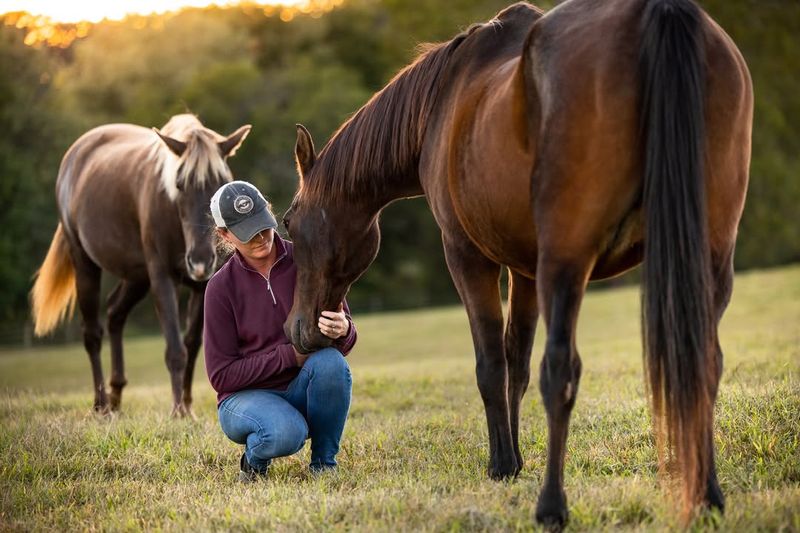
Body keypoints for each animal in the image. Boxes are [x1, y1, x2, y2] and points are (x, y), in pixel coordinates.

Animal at [32, 114, 250, 418]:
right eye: (179, 185)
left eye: (223, 183)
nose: (200, 260)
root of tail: (76, 153)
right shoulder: (162, 278)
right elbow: (175, 349)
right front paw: (177, 411)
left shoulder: (203, 285)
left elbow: (193, 345)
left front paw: (188, 406)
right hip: (85, 264)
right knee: (92, 334)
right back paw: (101, 405)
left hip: (137, 277)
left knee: (115, 313)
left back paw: (116, 395)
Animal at [282, 0, 752, 524]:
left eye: (288, 221)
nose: (298, 329)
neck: (440, 104)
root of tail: (657, 16)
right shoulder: (524, 270)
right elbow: (516, 365)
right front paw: (515, 458)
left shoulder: (467, 257)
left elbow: (491, 365)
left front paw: (502, 465)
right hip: (708, 259)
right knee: (703, 363)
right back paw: (708, 496)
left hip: (566, 264)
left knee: (561, 371)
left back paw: (551, 506)